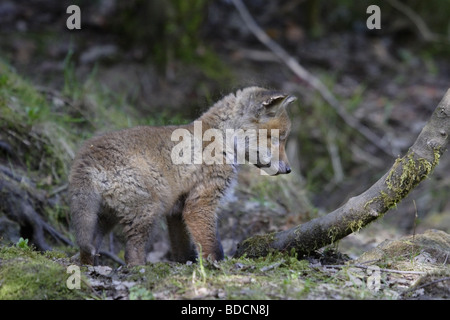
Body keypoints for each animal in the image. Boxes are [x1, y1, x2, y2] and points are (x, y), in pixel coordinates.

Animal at [68, 86, 296, 266]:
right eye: (278, 139)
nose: (288, 170)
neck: (222, 138)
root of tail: (86, 157)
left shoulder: (177, 212)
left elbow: (183, 251)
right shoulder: (200, 204)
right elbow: (213, 248)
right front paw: (216, 269)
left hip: (103, 219)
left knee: (86, 251)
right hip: (146, 212)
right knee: (132, 254)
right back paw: (139, 270)